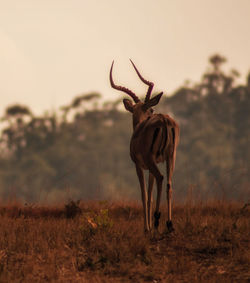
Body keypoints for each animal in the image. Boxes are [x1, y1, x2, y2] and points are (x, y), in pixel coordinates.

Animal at [109, 60, 178, 233]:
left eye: (151, 109)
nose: (153, 112)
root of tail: (164, 120)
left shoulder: (139, 165)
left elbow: (144, 195)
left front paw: (146, 229)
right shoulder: (151, 166)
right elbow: (150, 196)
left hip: (153, 160)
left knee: (161, 178)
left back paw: (157, 222)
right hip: (170, 156)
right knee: (168, 183)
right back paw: (169, 224)